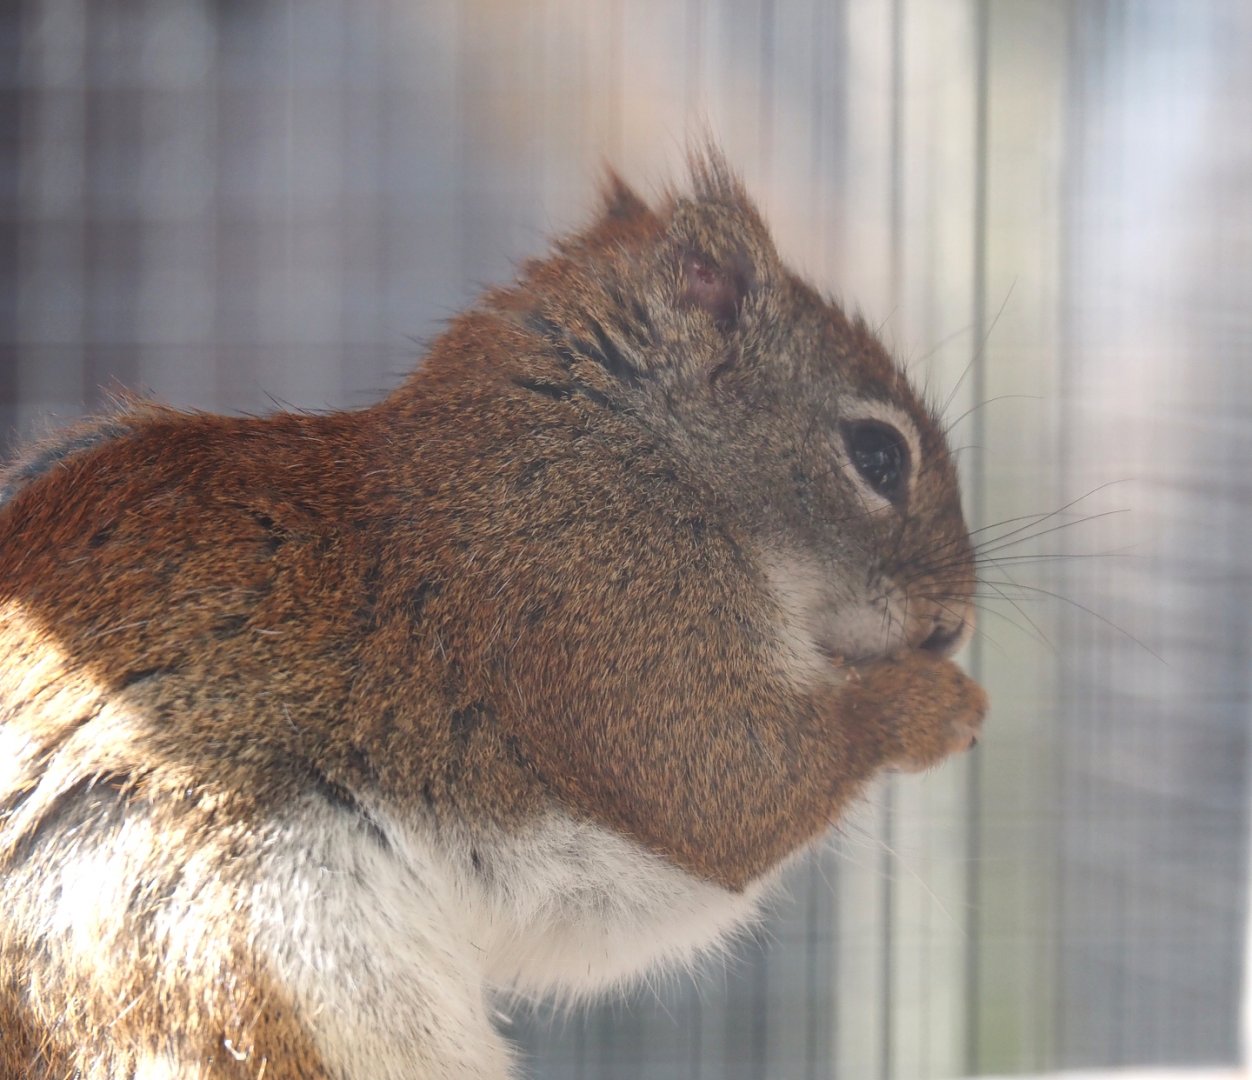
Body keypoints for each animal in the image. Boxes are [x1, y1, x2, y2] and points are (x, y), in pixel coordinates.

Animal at [0, 152, 986, 1079]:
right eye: (877, 454)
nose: (953, 625)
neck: (625, 443)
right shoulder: (601, 595)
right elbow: (730, 787)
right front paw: (938, 704)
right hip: (244, 963)